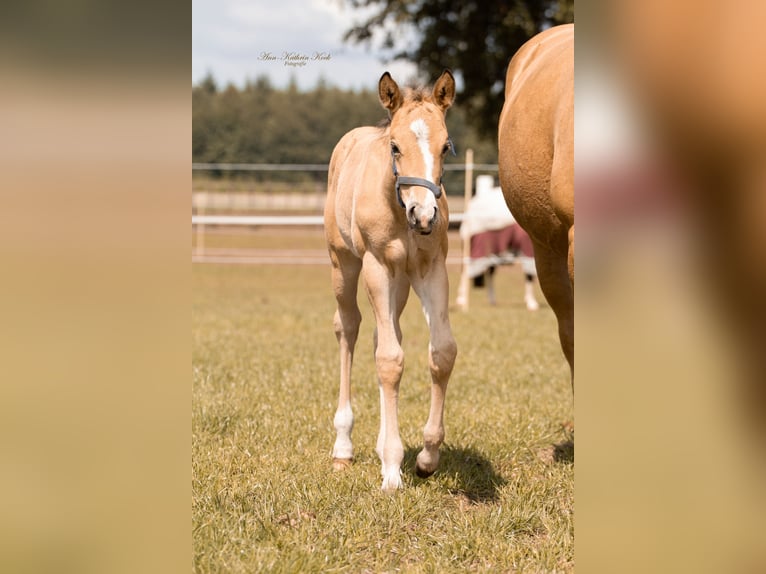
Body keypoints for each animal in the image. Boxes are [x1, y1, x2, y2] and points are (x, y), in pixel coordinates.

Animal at [323, 70, 458, 491]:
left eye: (445, 146)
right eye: (395, 147)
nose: (424, 214)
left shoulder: (432, 268)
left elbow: (440, 352)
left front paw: (426, 458)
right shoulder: (377, 266)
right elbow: (389, 360)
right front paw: (393, 473)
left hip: (399, 286)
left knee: (385, 334)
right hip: (345, 264)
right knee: (348, 328)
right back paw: (344, 447)